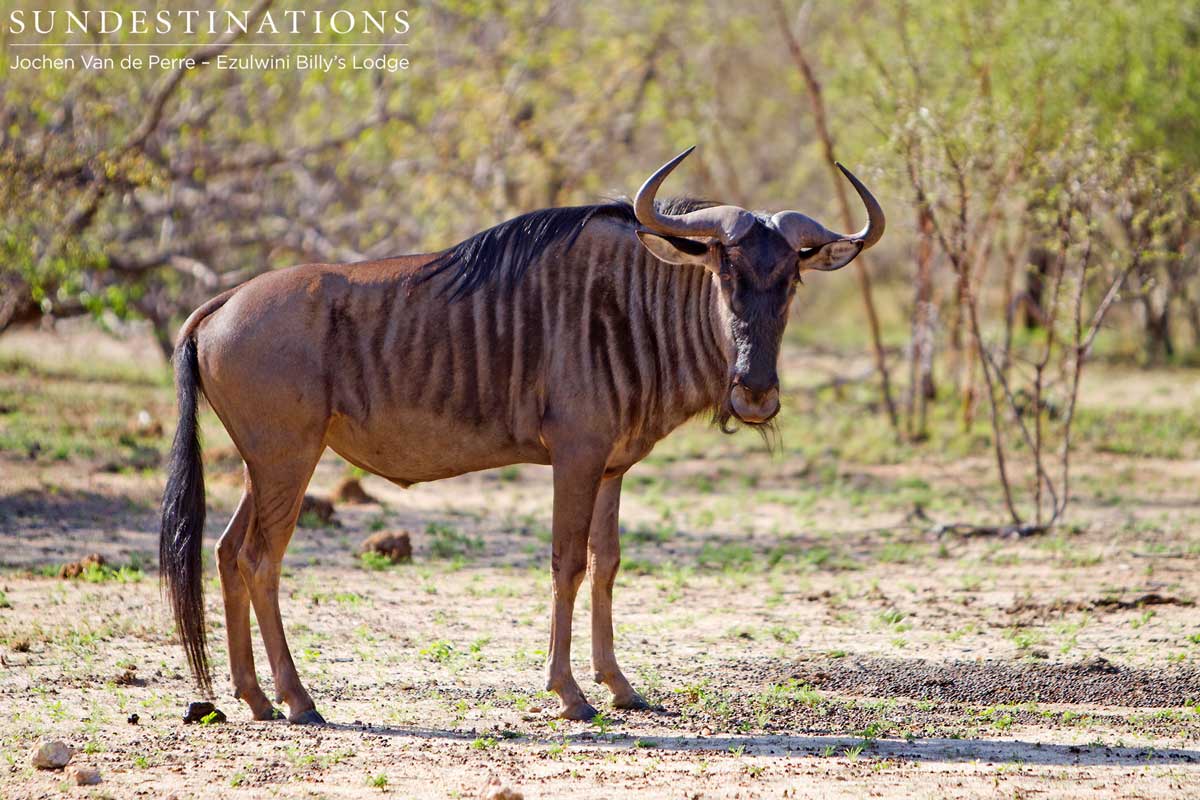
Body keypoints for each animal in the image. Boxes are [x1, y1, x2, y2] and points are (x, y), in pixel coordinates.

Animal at [160, 147, 884, 724]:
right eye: (724, 273)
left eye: (791, 279)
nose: (755, 394)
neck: (634, 303)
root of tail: (220, 305)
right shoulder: (576, 457)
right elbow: (568, 563)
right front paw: (570, 694)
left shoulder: (613, 468)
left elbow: (607, 562)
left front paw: (620, 686)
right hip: (289, 460)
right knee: (262, 561)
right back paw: (298, 699)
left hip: (265, 467)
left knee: (227, 553)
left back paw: (255, 697)